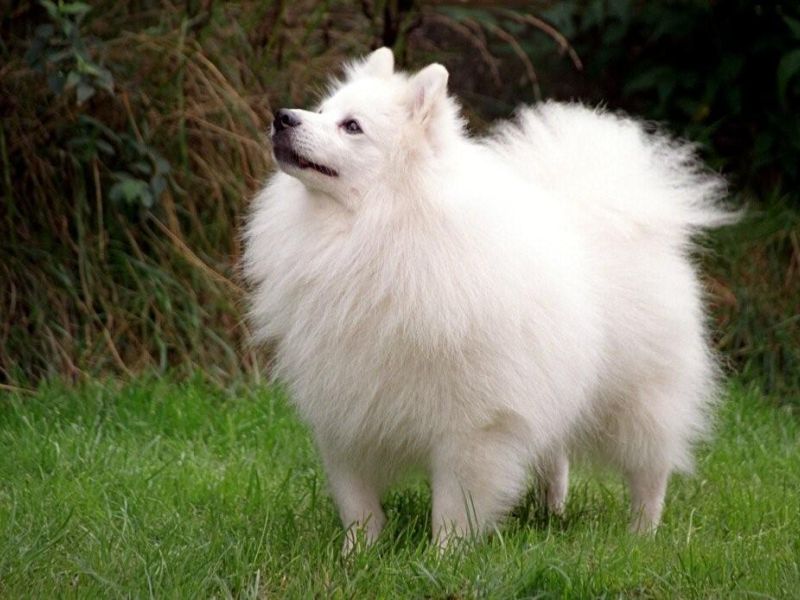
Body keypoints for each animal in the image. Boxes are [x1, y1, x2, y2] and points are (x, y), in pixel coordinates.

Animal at [243, 47, 732, 551]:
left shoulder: (473, 424)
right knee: (556, 457)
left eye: (352, 126)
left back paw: (642, 534)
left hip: (640, 401)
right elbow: (358, 502)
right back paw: (552, 510)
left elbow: (453, 507)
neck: (379, 229)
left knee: (649, 473)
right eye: (322, 110)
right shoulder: (345, 408)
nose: (282, 117)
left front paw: (443, 556)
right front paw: (357, 554)